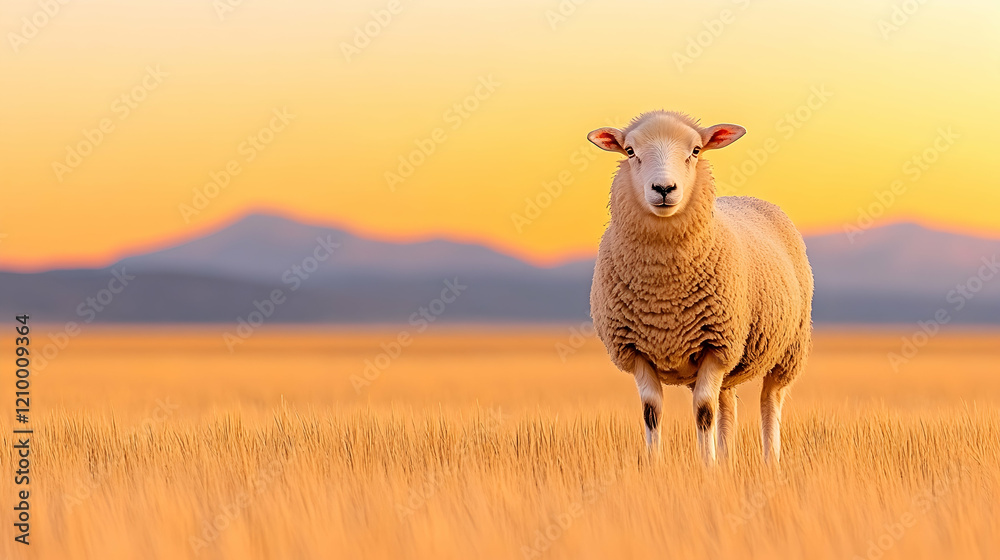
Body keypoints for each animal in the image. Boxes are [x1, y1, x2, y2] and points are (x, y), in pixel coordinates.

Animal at [587, 111, 813, 465]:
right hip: (734, 358)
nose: (664, 188)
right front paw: (655, 466)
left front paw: (707, 467)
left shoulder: (716, 346)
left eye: (695, 151)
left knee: (770, 401)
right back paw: (728, 459)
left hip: (788, 349)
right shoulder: (635, 349)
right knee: (728, 404)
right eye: (630, 151)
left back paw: (769, 461)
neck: (662, 295)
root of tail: (748, 198)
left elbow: (704, 412)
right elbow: (652, 412)